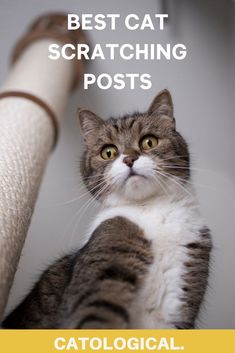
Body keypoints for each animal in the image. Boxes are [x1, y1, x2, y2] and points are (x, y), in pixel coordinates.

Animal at [1, 89, 212, 328]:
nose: (129, 159)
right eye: (108, 152)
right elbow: (96, 313)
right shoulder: (107, 253)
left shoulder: (184, 285)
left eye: (149, 142)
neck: (152, 210)